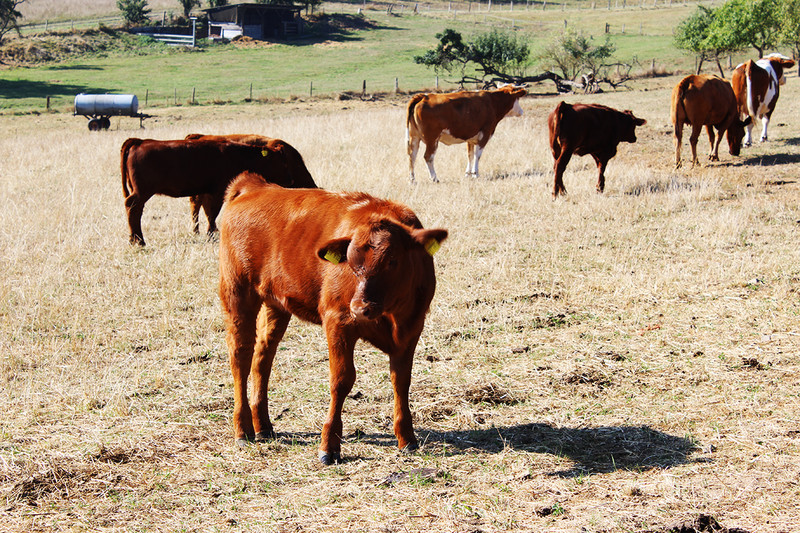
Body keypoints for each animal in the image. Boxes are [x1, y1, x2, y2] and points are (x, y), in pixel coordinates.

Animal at [219, 172, 446, 464]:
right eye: (351, 262)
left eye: (393, 261)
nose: (360, 307)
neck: (393, 316)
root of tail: (253, 185)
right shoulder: (338, 321)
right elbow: (341, 380)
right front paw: (330, 445)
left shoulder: (412, 327)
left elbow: (401, 380)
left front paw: (407, 438)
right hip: (236, 293)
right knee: (240, 357)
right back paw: (243, 429)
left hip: (275, 304)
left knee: (262, 357)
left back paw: (264, 426)